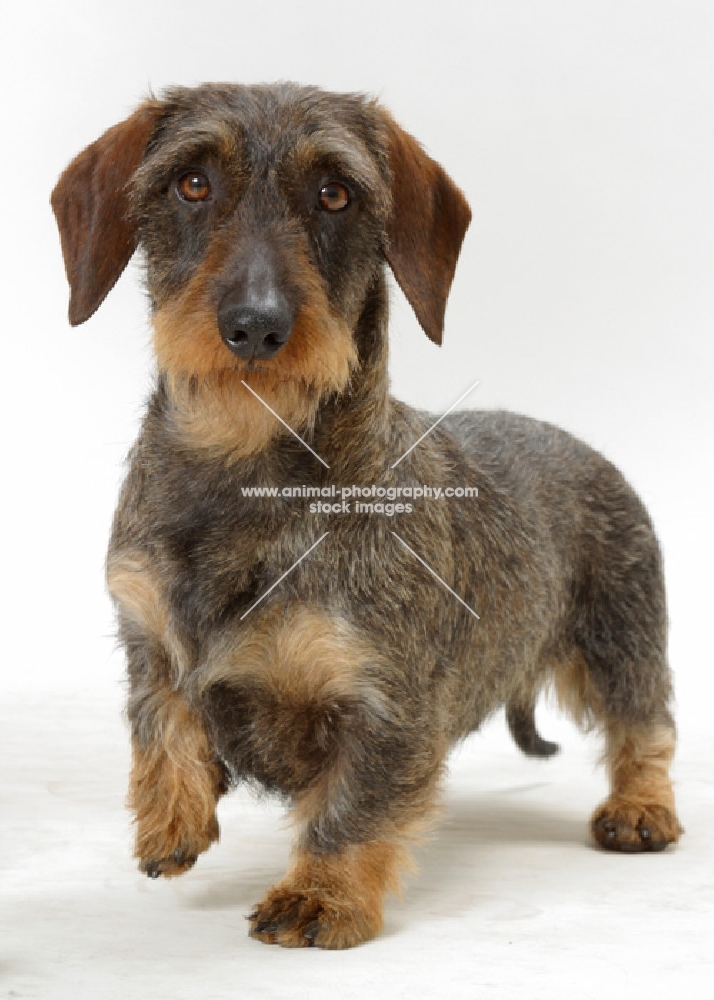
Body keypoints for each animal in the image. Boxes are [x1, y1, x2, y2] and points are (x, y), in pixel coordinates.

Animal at [52, 82, 680, 948]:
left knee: (645, 725)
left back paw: (641, 807)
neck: (246, 473)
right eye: (192, 183)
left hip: (621, 643)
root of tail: (581, 446)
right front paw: (169, 819)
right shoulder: (147, 634)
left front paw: (321, 895)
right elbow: (163, 722)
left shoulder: (384, 703)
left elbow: (352, 808)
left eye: (334, 194)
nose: (255, 326)